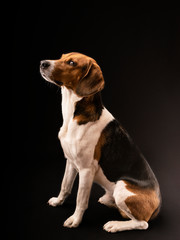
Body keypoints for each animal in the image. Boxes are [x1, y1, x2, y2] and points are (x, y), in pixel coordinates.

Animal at [40, 52, 161, 232]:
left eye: (72, 63)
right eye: (61, 56)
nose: (43, 63)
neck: (73, 116)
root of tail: (158, 204)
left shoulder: (86, 170)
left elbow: (81, 199)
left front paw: (75, 220)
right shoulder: (70, 162)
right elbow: (65, 186)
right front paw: (58, 201)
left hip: (122, 187)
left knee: (142, 223)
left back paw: (115, 225)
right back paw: (108, 201)